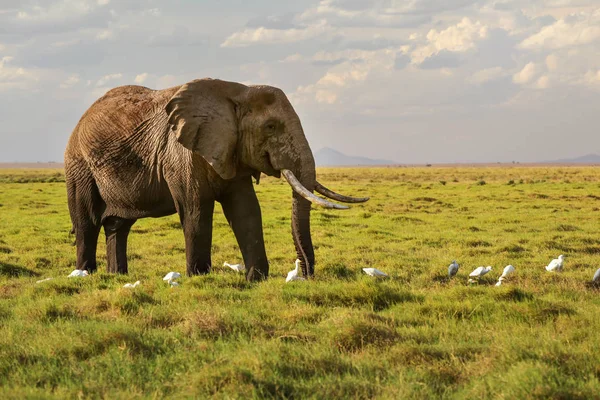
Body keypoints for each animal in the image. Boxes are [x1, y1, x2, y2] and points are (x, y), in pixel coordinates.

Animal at [63, 78, 368, 282]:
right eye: (271, 127)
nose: (304, 274)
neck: (236, 92)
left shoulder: (232, 149)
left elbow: (246, 211)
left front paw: (256, 279)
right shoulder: (181, 153)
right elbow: (196, 210)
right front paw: (199, 278)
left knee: (119, 227)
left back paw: (118, 277)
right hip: (79, 167)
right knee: (87, 223)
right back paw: (85, 274)